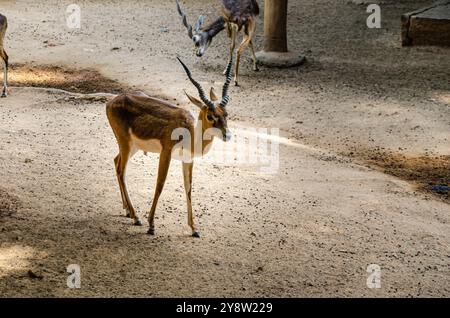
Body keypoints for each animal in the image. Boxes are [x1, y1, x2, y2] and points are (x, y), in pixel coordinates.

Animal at [104, 56, 232, 236]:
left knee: (116, 162)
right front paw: (151, 225)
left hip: (132, 146)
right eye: (210, 115)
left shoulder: (188, 159)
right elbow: (160, 184)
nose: (227, 135)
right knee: (122, 172)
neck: (190, 133)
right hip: (125, 143)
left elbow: (188, 188)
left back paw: (128, 211)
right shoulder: (166, 152)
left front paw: (194, 229)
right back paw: (136, 217)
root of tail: (111, 101)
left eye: (226, 114)